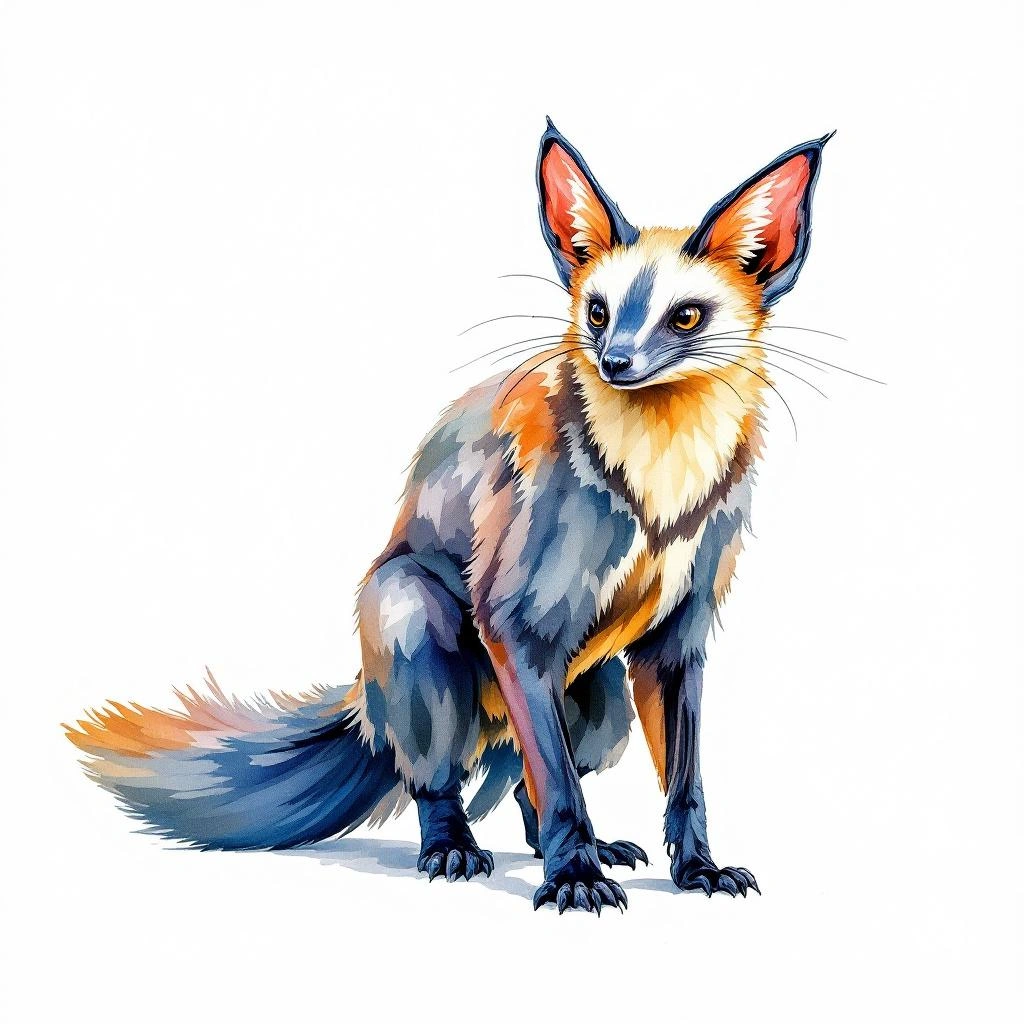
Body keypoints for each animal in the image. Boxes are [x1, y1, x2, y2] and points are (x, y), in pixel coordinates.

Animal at [67, 119, 831, 914]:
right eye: (597, 310)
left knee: (525, 782)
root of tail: (362, 703)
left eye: (686, 316)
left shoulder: (676, 641)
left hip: (604, 702)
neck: (658, 491)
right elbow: (559, 785)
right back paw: (458, 851)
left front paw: (696, 870)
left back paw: (584, 850)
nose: (616, 360)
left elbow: (682, 784)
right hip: (413, 615)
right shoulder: (517, 625)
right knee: (445, 779)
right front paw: (574, 880)